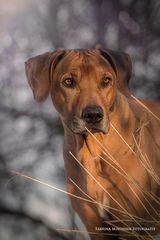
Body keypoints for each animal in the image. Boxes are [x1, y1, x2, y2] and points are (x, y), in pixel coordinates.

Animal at [25, 47, 160, 239]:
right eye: (68, 81)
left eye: (106, 80)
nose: (94, 115)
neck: (93, 150)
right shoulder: (94, 226)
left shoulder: (133, 223)